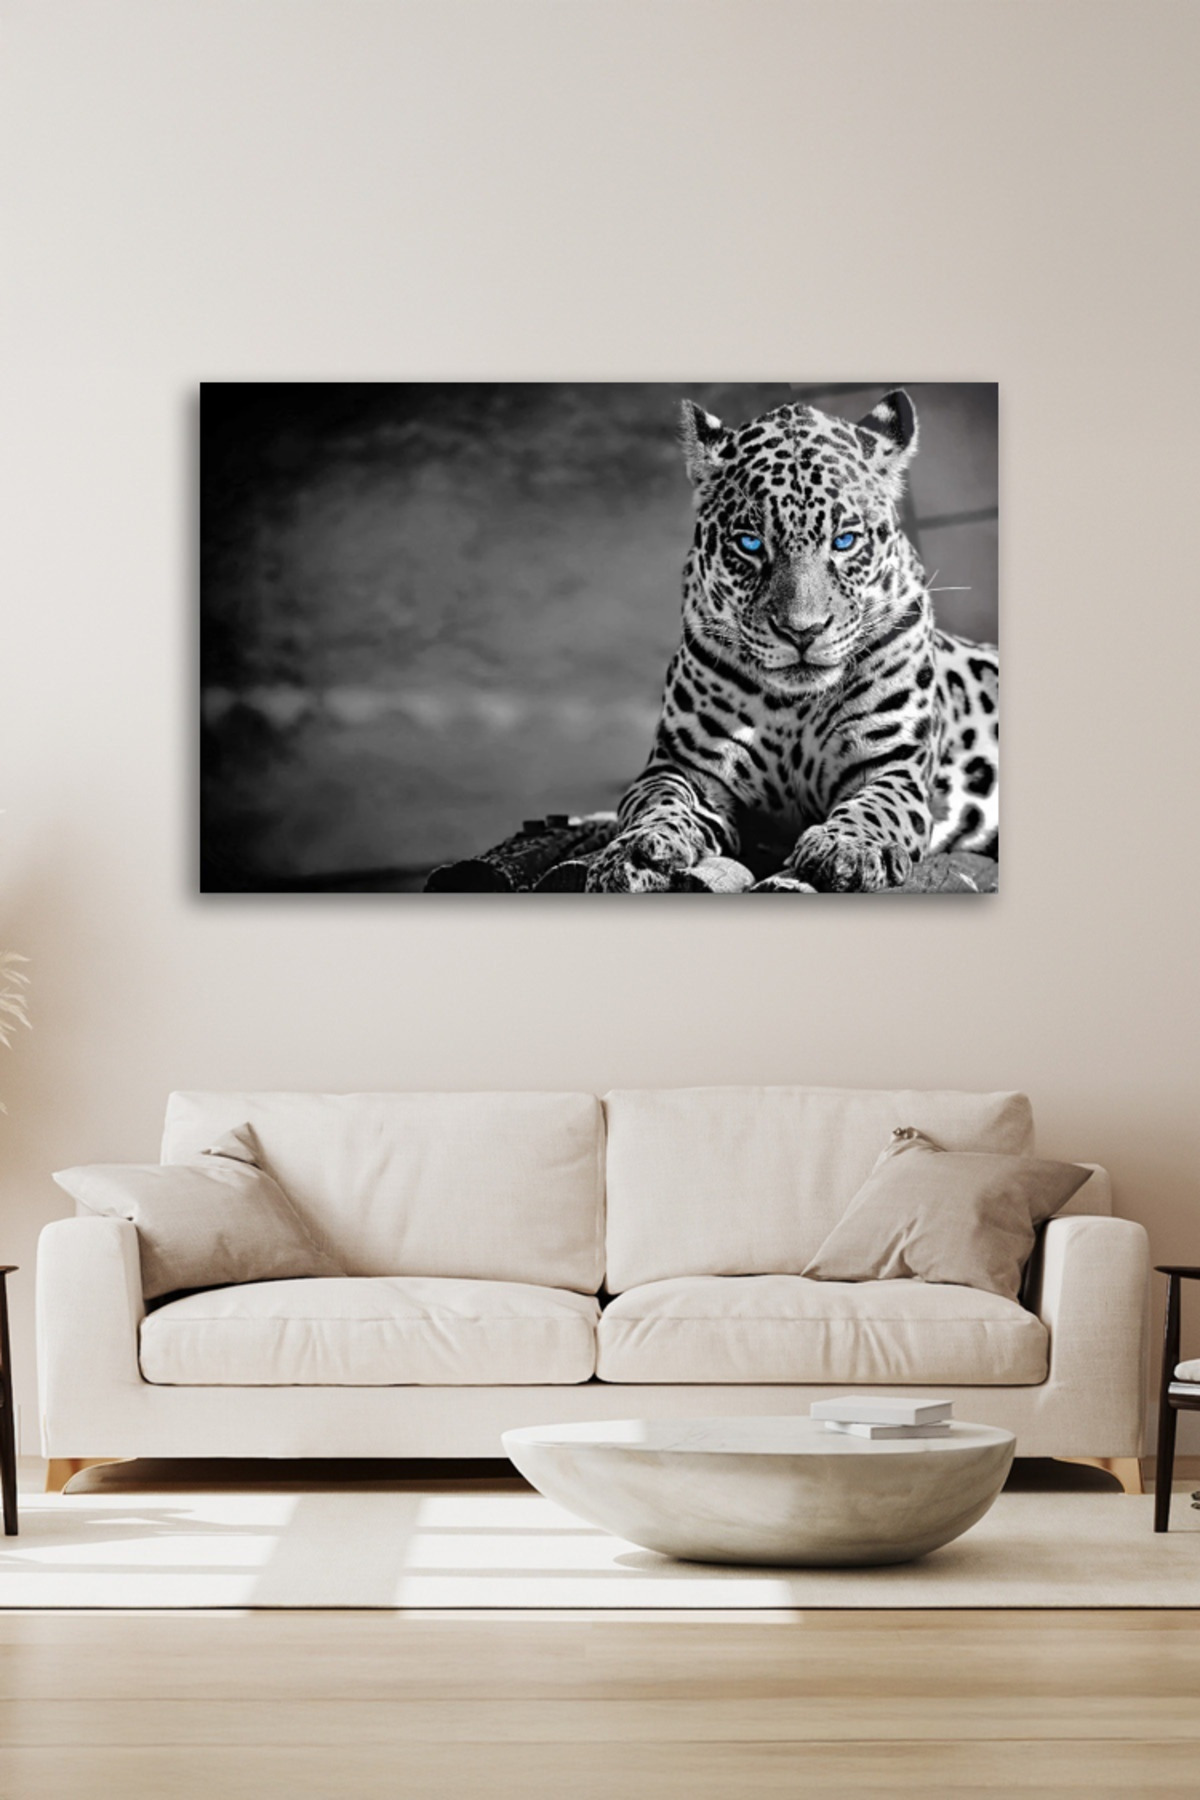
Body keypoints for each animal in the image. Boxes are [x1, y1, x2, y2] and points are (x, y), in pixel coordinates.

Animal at [585, 389, 998, 893]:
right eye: (749, 544)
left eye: (845, 541)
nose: (802, 631)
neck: (794, 708)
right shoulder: (683, 766)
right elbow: (658, 801)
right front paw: (637, 851)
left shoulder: (893, 765)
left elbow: (875, 807)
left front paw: (847, 848)